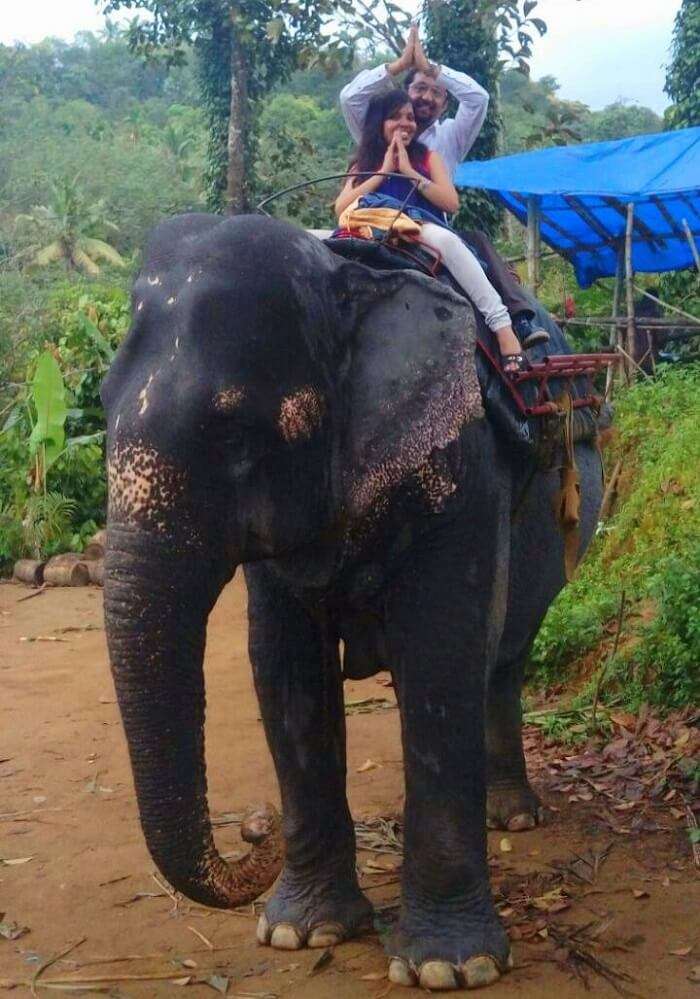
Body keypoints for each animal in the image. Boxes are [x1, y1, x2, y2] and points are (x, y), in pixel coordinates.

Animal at [100, 213, 600, 992]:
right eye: (98, 404)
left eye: (236, 433)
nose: (254, 828)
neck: (346, 280)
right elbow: (283, 666)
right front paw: (300, 932)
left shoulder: (464, 456)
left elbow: (442, 649)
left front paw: (450, 968)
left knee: (505, 655)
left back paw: (515, 818)